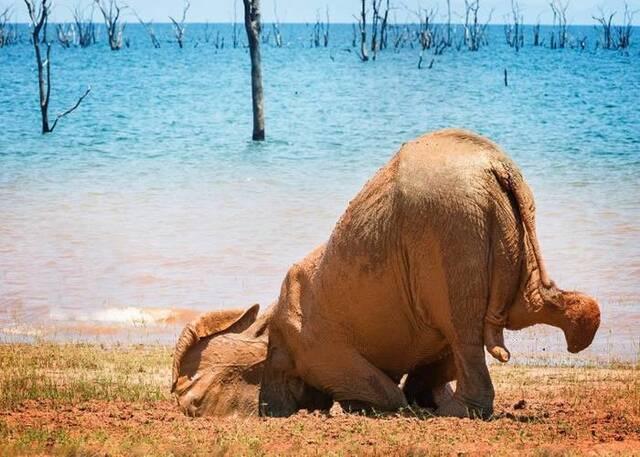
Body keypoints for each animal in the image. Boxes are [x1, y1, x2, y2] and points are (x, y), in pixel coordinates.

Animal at [256, 127, 600, 416]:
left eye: (272, 358)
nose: (266, 412)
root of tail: (498, 166)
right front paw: (420, 399)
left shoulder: (316, 345)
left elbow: (381, 388)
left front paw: (390, 405)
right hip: (501, 225)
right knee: (522, 307)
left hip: (451, 229)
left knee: (463, 329)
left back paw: (458, 412)